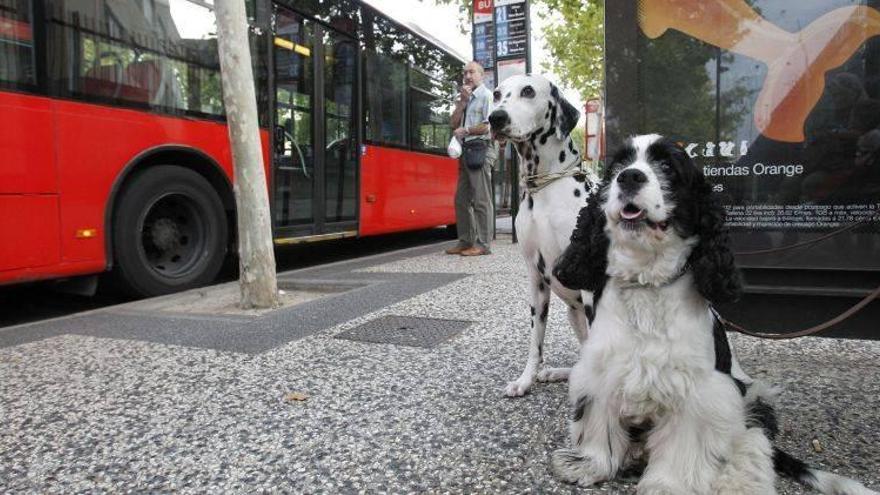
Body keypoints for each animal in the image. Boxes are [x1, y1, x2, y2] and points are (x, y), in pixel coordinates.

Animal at [488, 74, 600, 400]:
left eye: (528, 91)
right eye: (496, 94)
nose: (495, 118)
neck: (544, 190)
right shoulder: (536, 279)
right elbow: (535, 342)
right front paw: (525, 380)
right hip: (573, 314)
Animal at [552, 134, 868, 494]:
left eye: (668, 167)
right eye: (618, 165)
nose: (629, 177)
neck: (648, 282)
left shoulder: (702, 391)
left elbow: (685, 443)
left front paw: (667, 485)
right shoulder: (601, 371)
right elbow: (597, 424)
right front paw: (586, 465)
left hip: (752, 399)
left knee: (754, 446)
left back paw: (737, 483)